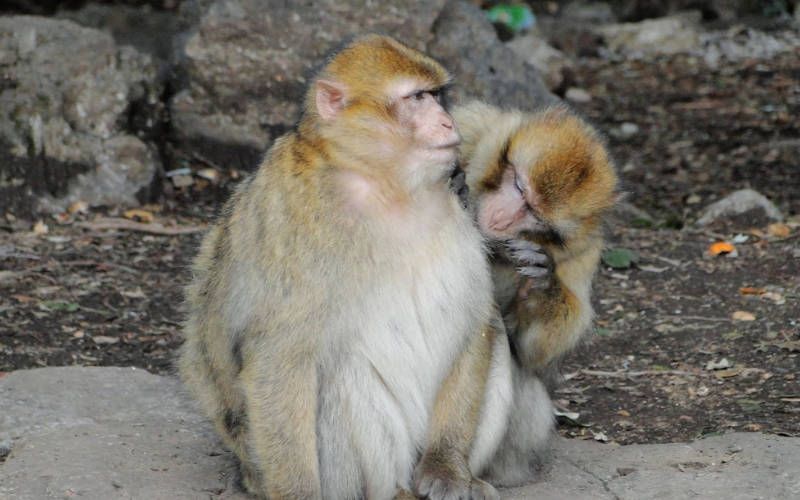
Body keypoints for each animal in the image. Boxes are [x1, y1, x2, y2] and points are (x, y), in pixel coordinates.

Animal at [178, 36, 514, 500]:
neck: (387, 187)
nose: (447, 123)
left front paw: (447, 467)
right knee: (344, 374)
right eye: (416, 99)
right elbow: (280, 354)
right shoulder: (298, 221)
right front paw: (297, 493)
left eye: (437, 96)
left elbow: (477, 322)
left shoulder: (459, 210)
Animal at [451, 101, 618, 485]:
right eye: (518, 186)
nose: (500, 219)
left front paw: (543, 288)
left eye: (534, 215)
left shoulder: (582, 255)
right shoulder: (469, 125)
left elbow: (535, 356)